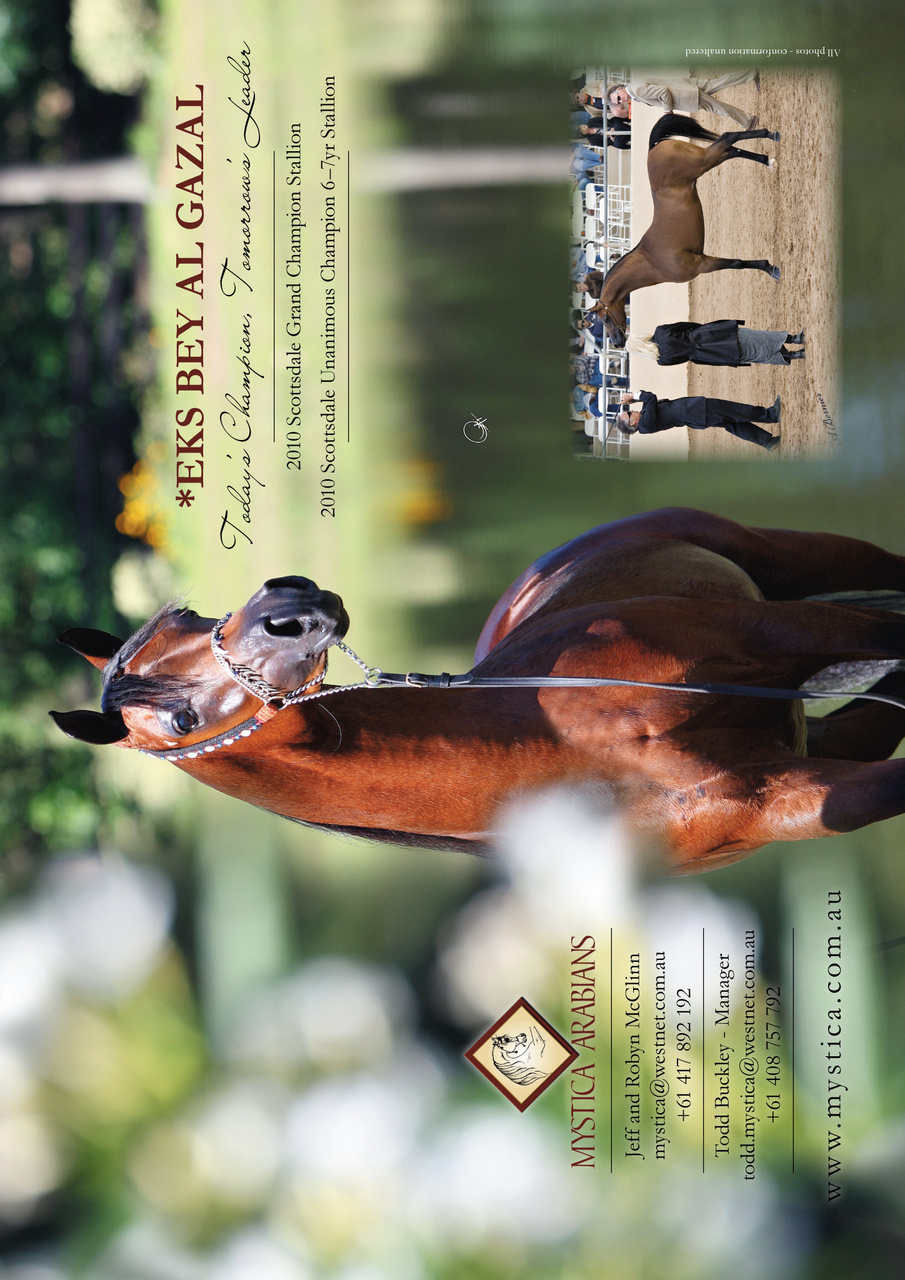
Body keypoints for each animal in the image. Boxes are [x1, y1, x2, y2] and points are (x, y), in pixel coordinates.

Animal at [51, 507, 905, 874]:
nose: (287, 605)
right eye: (180, 717)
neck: (575, 751)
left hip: (793, 564)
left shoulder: (779, 634)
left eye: (189, 615)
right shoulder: (794, 796)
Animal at [591, 114, 781, 348]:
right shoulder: (702, 260)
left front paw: (771, 269)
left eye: (605, 319)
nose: (617, 343)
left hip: (703, 162)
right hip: (707, 162)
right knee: (731, 150)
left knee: (728, 138)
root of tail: (653, 149)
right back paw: (768, 159)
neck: (652, 261)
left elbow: (736, 263)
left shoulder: (701, 264)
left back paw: (770, 135)